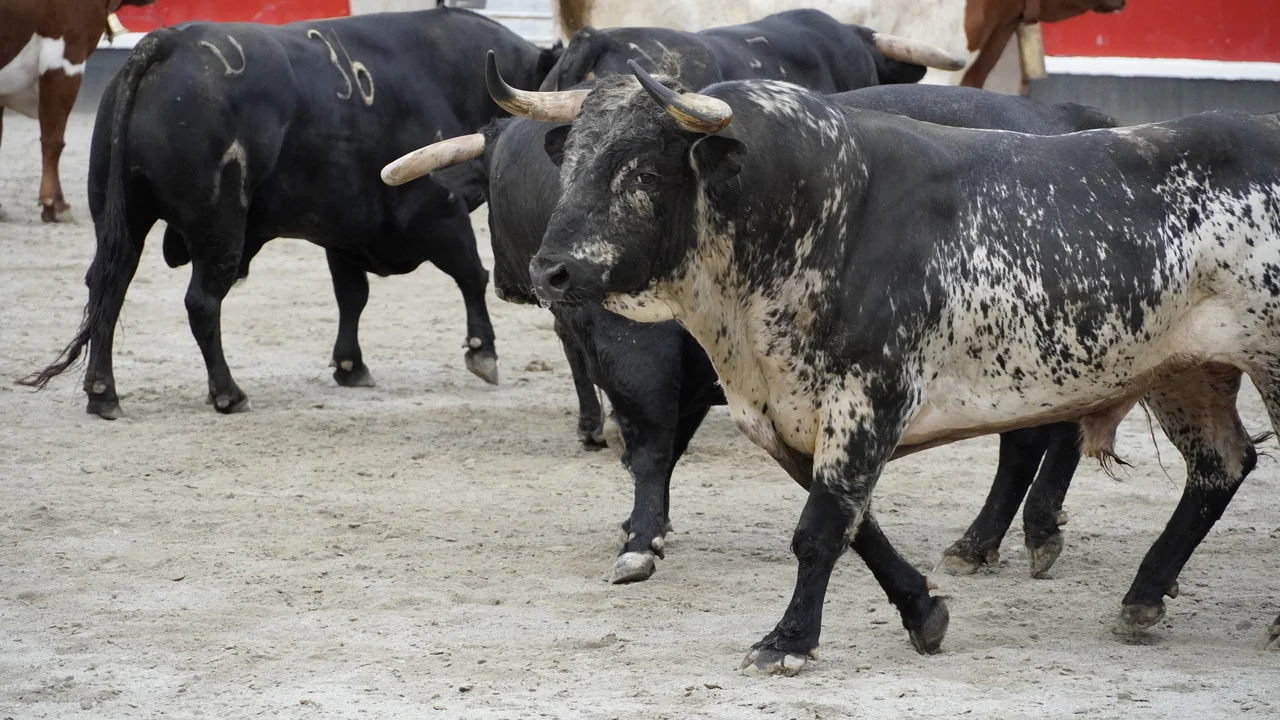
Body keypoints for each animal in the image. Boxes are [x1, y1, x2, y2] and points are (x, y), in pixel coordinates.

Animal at [19, 8, 560, 419]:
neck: (450, 73)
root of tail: (168, 42)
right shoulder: (437, 213)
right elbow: (471, 273)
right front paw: (483, 352)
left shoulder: (344, 229)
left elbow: (352, 296)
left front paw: (350, 367)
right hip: (219, 227)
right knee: (201, 301)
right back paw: (227, 393)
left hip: (121, 218)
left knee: (108, 289)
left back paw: (103, 394)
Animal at [385, 79, 1116, 584]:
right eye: (567, 169)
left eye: (641, 173)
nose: (541, 273)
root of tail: (1067, 120)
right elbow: (664, 449)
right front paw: (647, 526)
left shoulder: (639, 356)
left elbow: (648, 447)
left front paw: (638, 543)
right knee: (1047, 432)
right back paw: (1009, 537)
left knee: (1034, 440)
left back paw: (1003, 535)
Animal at [492, 58, 1280, 674]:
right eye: (571, 163)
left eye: (645, 172)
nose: (550, 271)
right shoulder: (787, 413)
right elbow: (855, 524)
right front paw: (923, 611)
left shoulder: (870, 396)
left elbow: (819, 529)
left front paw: (788, 641)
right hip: (1186, 370)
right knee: (1220, 465)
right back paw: (1141, 598)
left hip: (1265, 361)